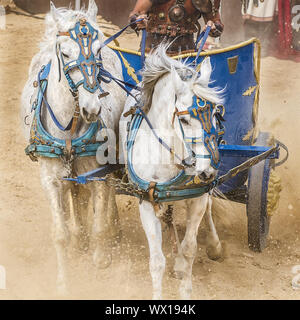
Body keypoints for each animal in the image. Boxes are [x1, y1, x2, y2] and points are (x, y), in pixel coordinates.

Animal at [19, 0, 125, 296]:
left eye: (97, 50)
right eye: (65, 53)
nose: (92, 109)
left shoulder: (98, 173)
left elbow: (99, 223)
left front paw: (100, 260)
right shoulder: (51, 179)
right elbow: (60, 234)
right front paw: (63, 283)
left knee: (104, 197)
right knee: (74, 199)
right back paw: (79, 237)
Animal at [120, 45, 224, 300]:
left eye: (216, 114)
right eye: (184, 120)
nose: (207, 171)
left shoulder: (198, 198)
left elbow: (189, 250)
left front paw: (185, 289)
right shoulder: (147, 201)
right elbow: (157, 261)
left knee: (208, 209)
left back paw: (214, 246)